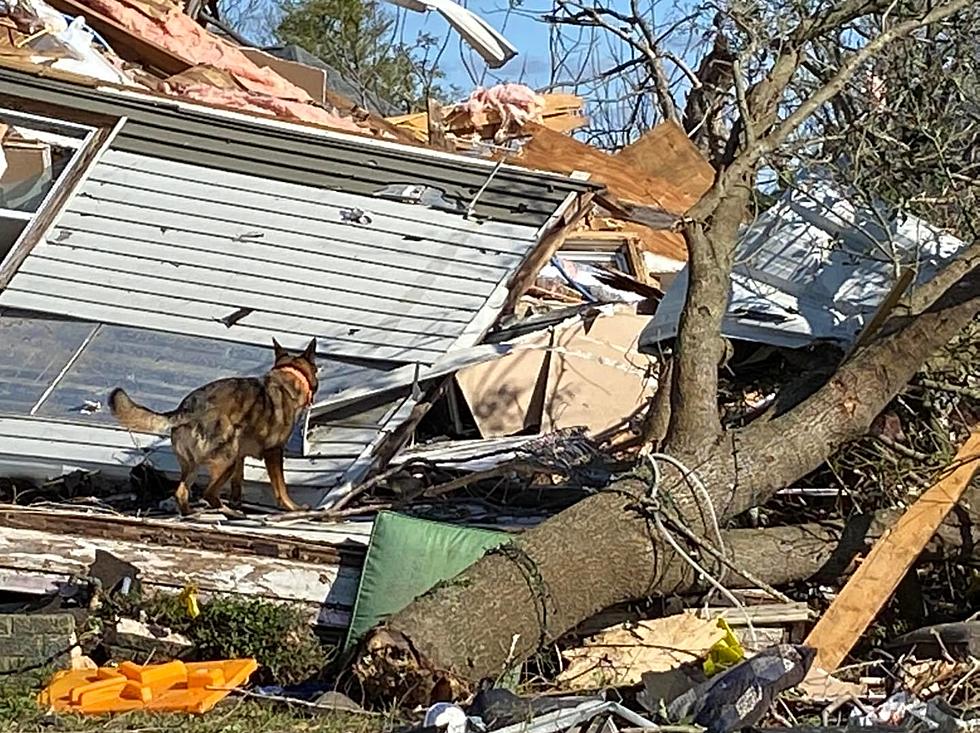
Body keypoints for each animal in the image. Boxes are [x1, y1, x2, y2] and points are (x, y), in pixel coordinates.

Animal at [107, 338, 322, 516]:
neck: (290, 376)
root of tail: (186, 409)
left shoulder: (241, 456)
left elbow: (238, 483)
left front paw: (237, 501)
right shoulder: (274, 452)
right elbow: (281, 486)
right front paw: (292, 507)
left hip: (198, 464)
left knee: (182, 492)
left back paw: (193, 513)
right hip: (227, 459)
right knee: (208, 493)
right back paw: (228, 512)